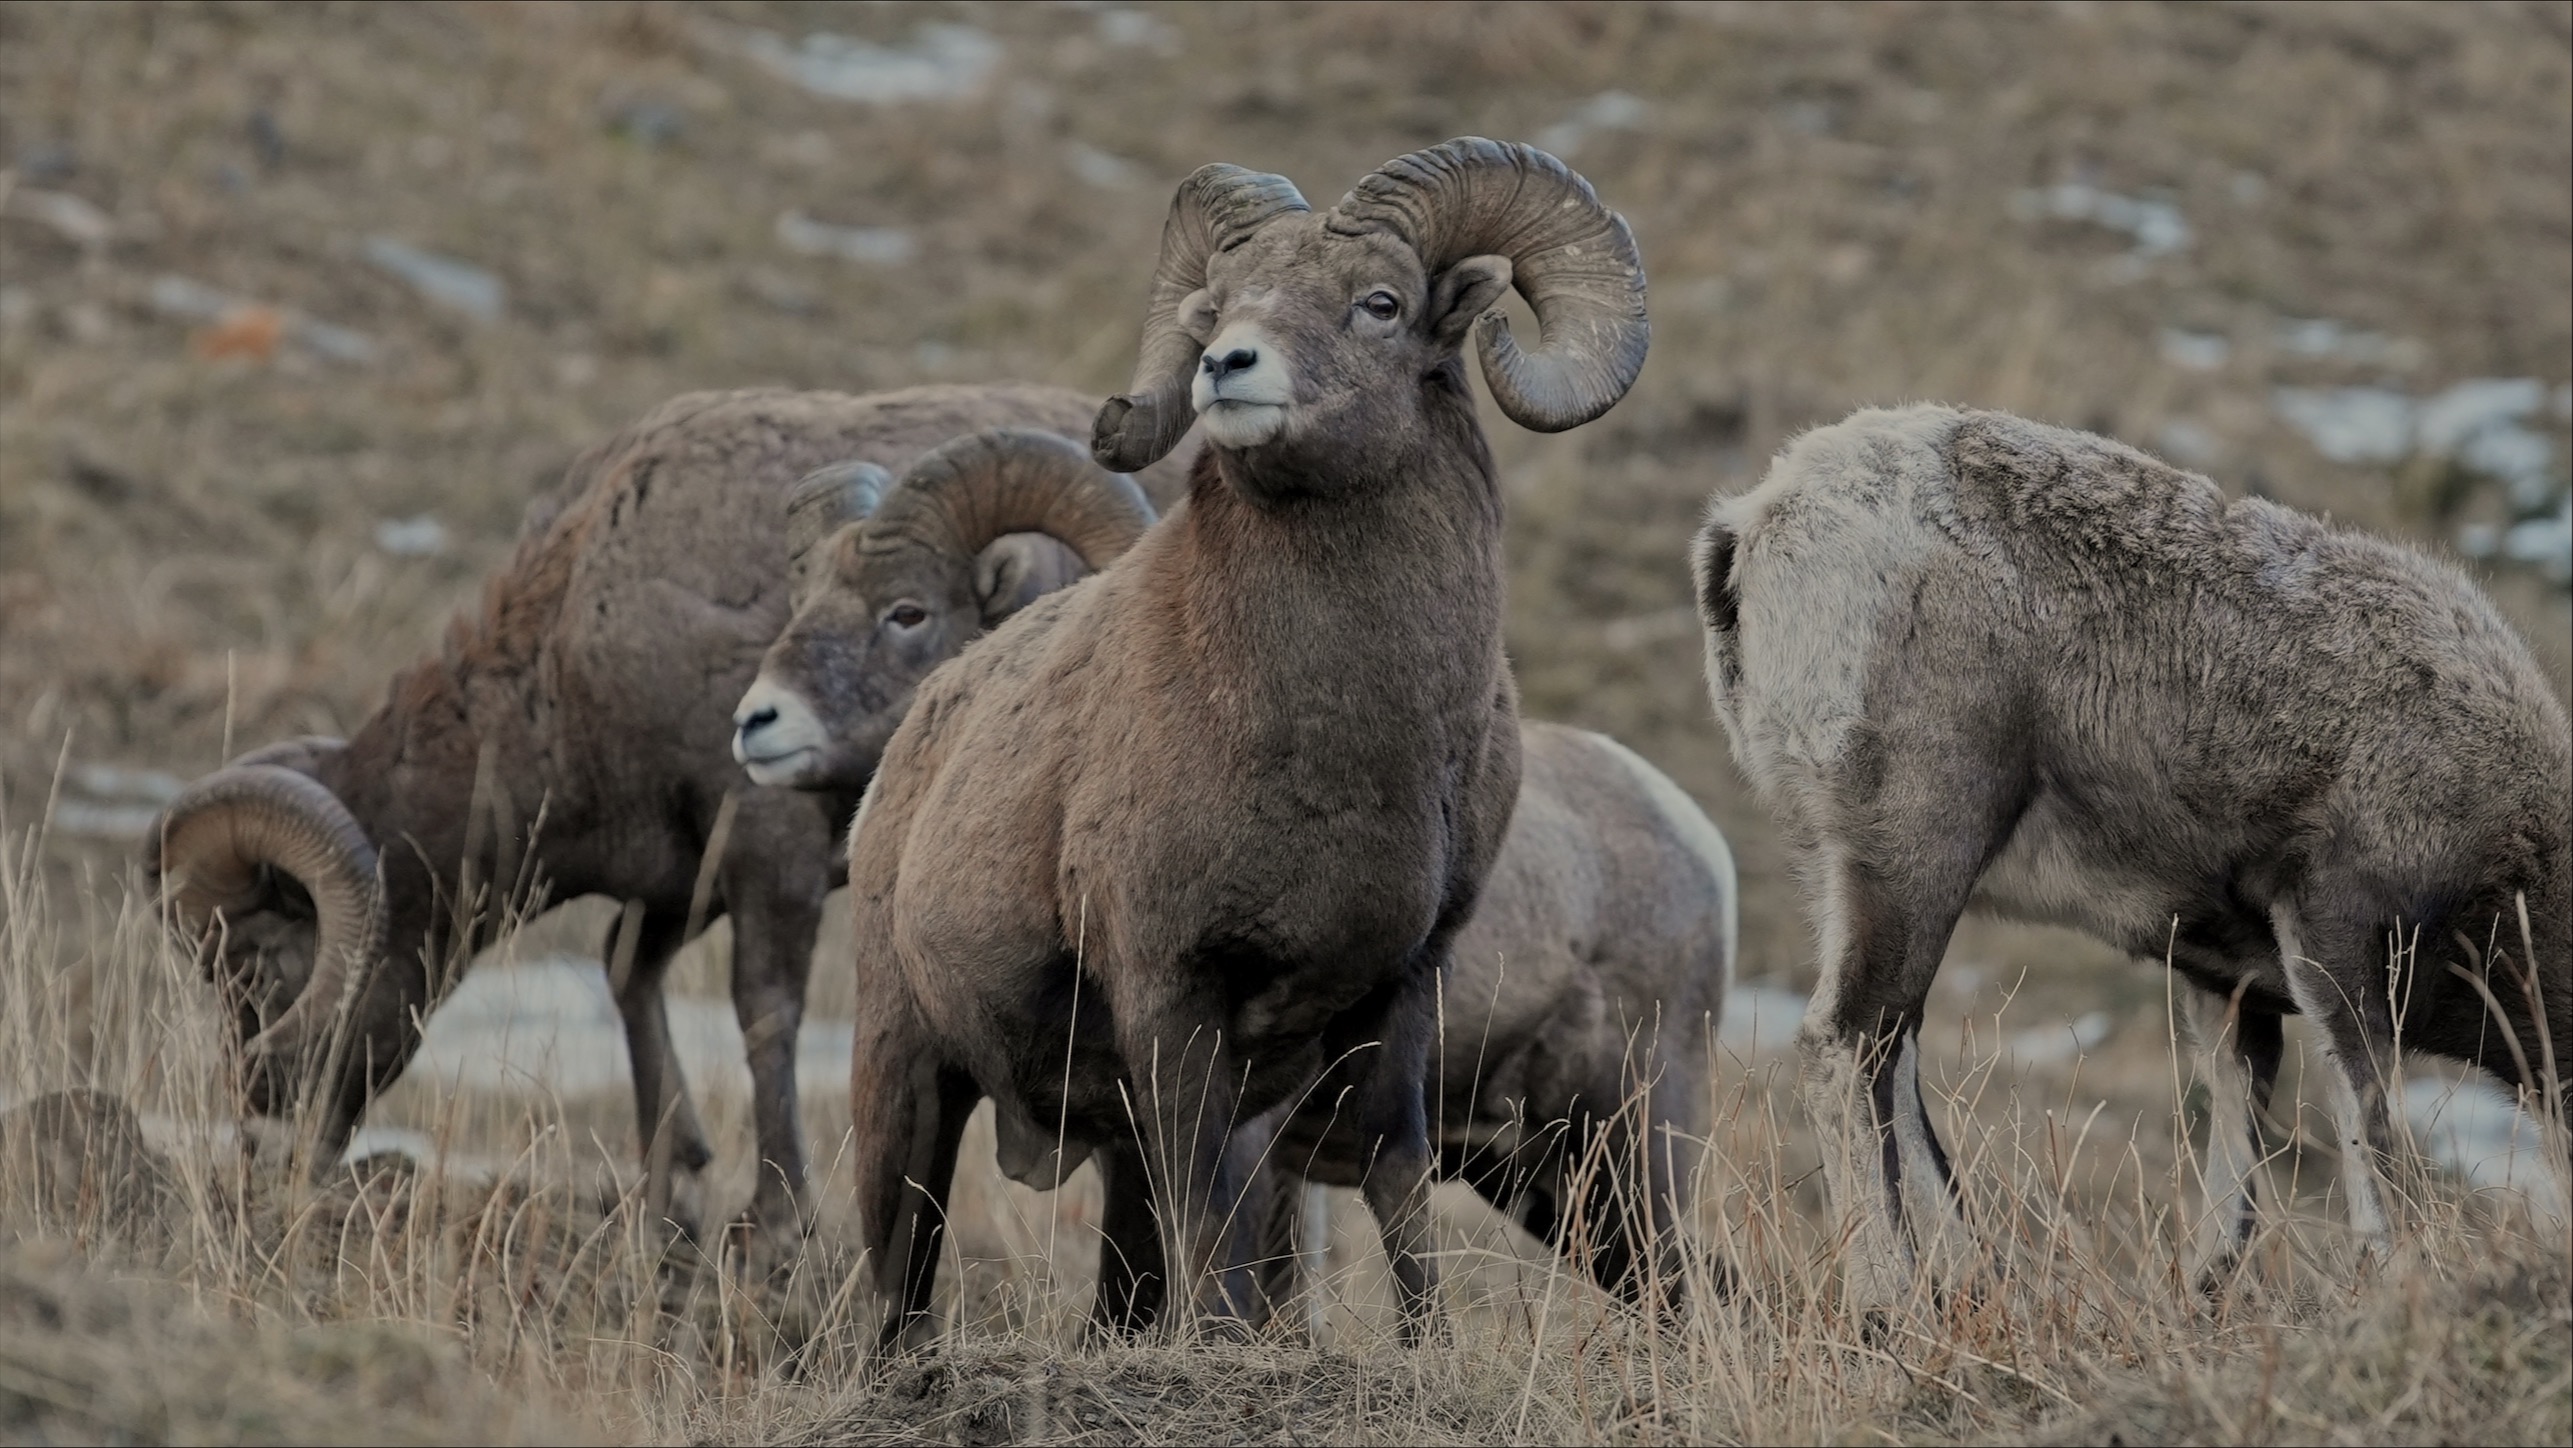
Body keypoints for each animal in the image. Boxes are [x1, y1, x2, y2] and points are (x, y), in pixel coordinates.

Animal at [146, 384, 1191, 1256]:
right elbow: (625, 973)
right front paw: (671, 1182)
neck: (583, 642)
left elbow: (763, 1015)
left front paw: (779, 1218)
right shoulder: (678, 881)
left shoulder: (770, 857)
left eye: (256, 965)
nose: (263, 1130)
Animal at [833, 136, 1650, 1345]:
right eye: (1216, 306)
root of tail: (911, 749)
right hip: (908, 1077)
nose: (1226, 366)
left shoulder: (1401, 991)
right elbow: (1207, 1199)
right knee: (902, 1269)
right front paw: (1221, 1344)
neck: (1342, 754)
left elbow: (1395, 1177)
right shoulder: (1171, 992)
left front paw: (1423, 1344)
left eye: (1378, 303)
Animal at [1689, 403, 2570, 1306]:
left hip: (1838, 868)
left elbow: (2237, 1134)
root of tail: (1751, 528)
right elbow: (2366, 1118)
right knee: (1850, 1040)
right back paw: (1888, 1299)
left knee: (1893, 1048)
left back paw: (1973, 1280)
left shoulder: (2227, 982)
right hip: (1914, 849)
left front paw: (2207, 1292)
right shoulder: (2335, 932)